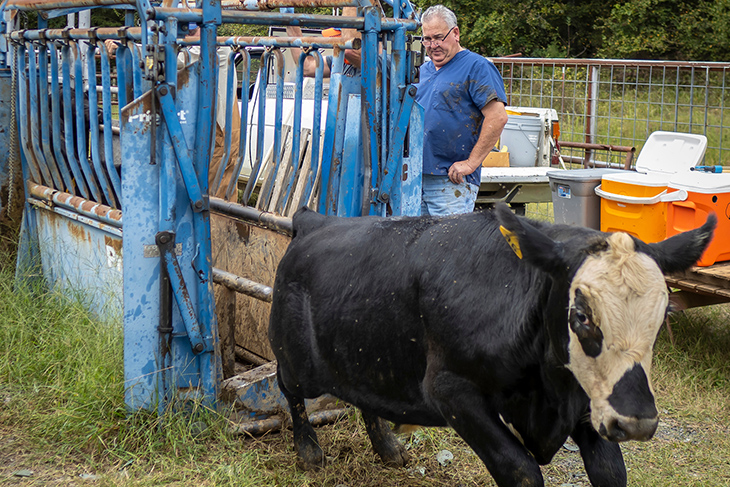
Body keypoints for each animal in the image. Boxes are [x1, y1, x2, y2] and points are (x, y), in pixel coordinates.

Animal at [266, 204, 712, 486]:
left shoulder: (592, 399)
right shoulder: (451, 390)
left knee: (363, 396)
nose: (637, 422)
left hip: (363, 353)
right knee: (288, 388)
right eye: (582, 316)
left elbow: (611, 473)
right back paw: (308, 451)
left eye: (664, 314)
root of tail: (314, 219)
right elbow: (522, 471)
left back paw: (388, 448)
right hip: (296, 358)